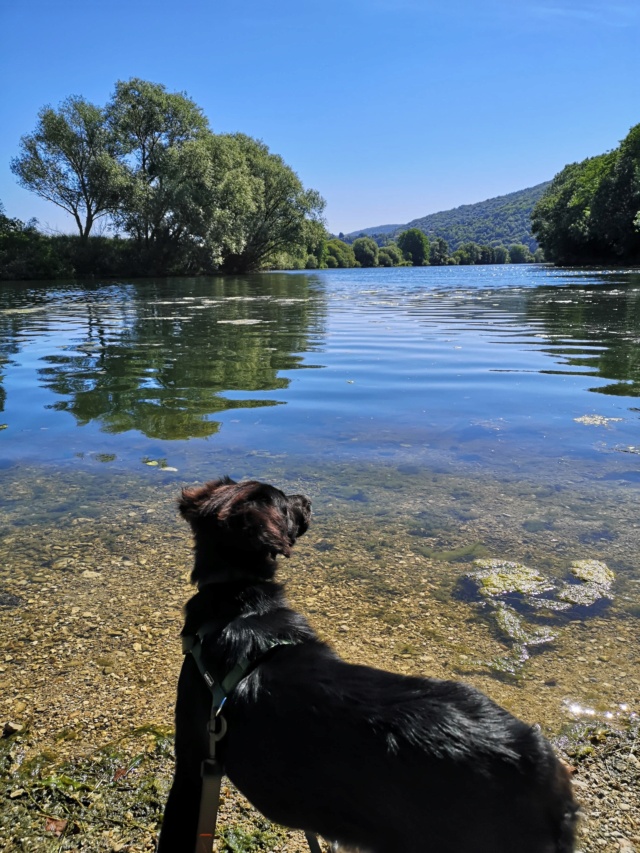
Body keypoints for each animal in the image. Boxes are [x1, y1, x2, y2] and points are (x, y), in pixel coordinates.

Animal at [158, 476, 576, 848]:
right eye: (285, 502)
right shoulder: (192, 769)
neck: (237, 602)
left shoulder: (195, 766)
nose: (308, 499)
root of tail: (538, 762)